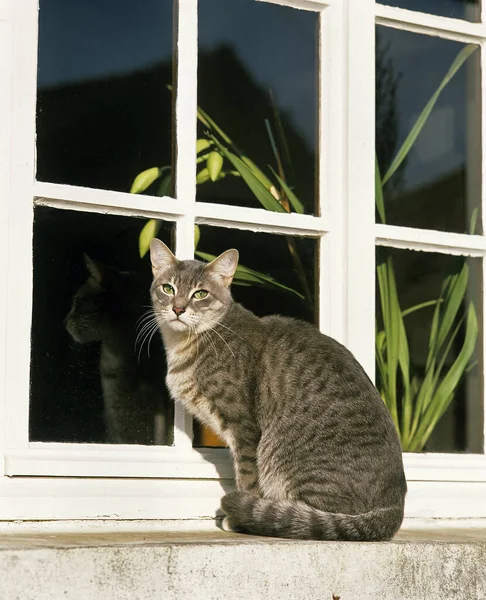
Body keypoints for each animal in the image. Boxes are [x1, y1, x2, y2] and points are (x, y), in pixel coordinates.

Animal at [149, 240, 406, 544]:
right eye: (168, 288)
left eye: (200, 294)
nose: (177, 309)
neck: (187, 343)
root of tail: (394, 507)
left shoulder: (244, 429)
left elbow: (247, 478)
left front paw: (239, 517)